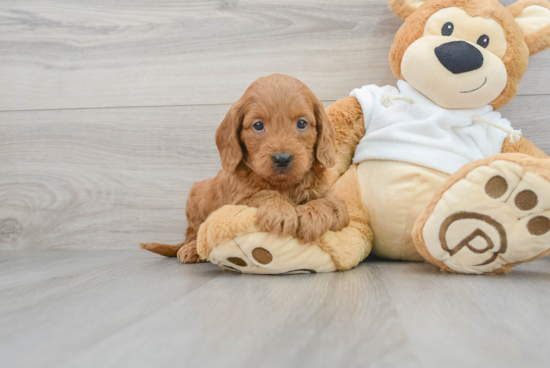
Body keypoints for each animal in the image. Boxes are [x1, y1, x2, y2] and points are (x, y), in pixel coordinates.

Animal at [142, 74, 350, 262]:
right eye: (258, 125)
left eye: (301, 123)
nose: (282, 159)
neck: (284, 184)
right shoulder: (237, 201)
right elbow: (264, 194)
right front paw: (281, 211)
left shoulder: (336, 204)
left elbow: (330, 204)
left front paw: (312, 216)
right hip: (196, 198)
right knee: (194, 233)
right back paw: (191, 249)